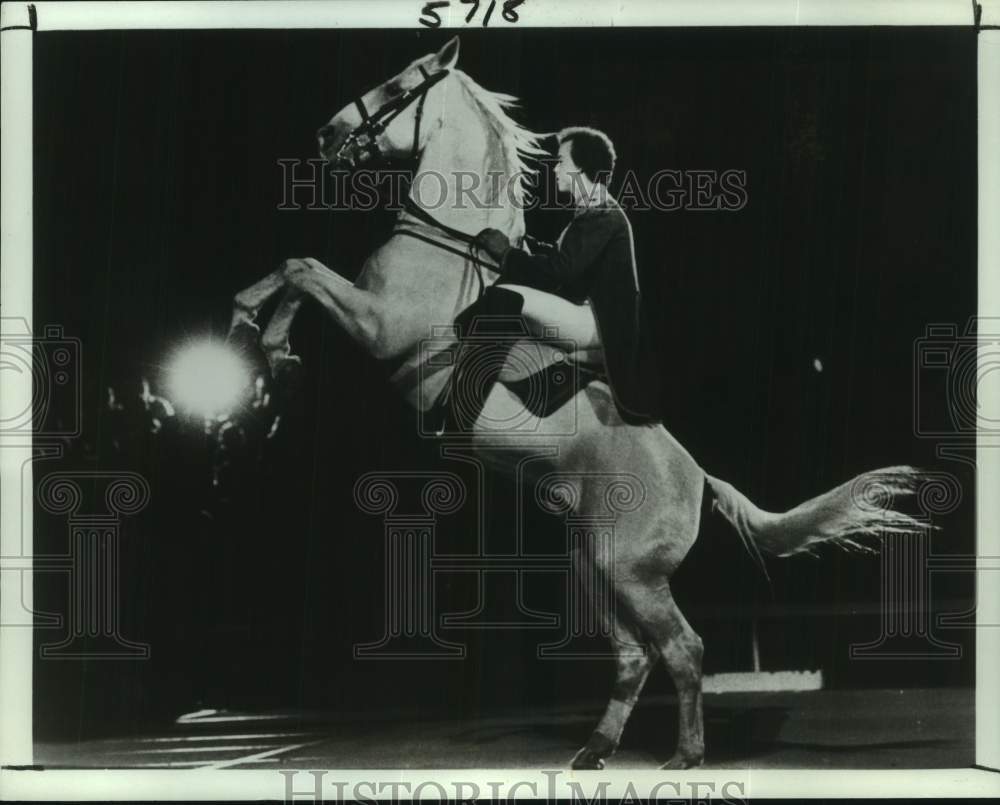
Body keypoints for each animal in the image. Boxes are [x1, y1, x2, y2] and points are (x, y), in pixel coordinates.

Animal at [229, 39, 928, 772]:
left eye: (398, 87)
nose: (325, 135)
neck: (446, 243)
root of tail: (700, 477)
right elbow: (294, 270)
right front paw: (260, 347)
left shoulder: (379, 325)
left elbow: (303, 270)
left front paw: (264, 347)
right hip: (592, 563)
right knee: (632, 654)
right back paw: (594, 750)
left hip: (630, 570)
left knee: (682, 648)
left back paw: (684, 756)